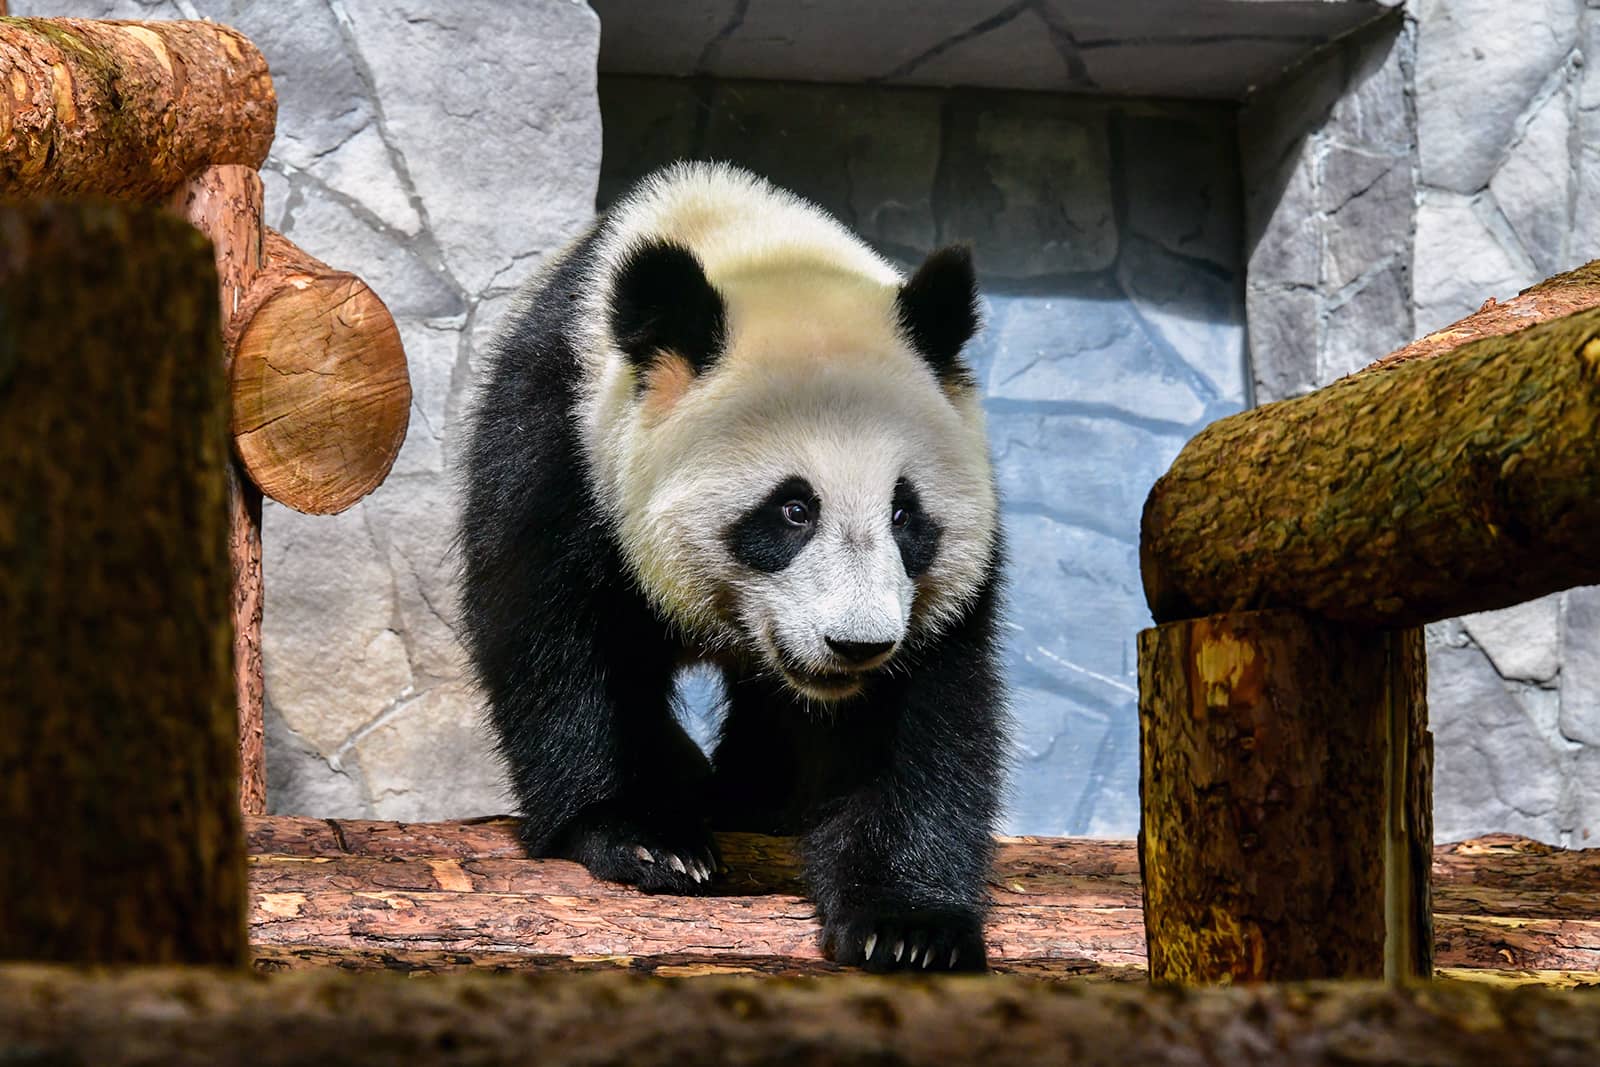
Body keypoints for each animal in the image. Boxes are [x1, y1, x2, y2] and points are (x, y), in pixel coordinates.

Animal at [458, 162, 1006, 973]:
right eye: (792, 509)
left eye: (904, 514)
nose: (857, 644)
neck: (751, 242)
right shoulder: (563, 436)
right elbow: (556, 635)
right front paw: (646, 836)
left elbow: (921, 716)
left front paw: (909, 928)